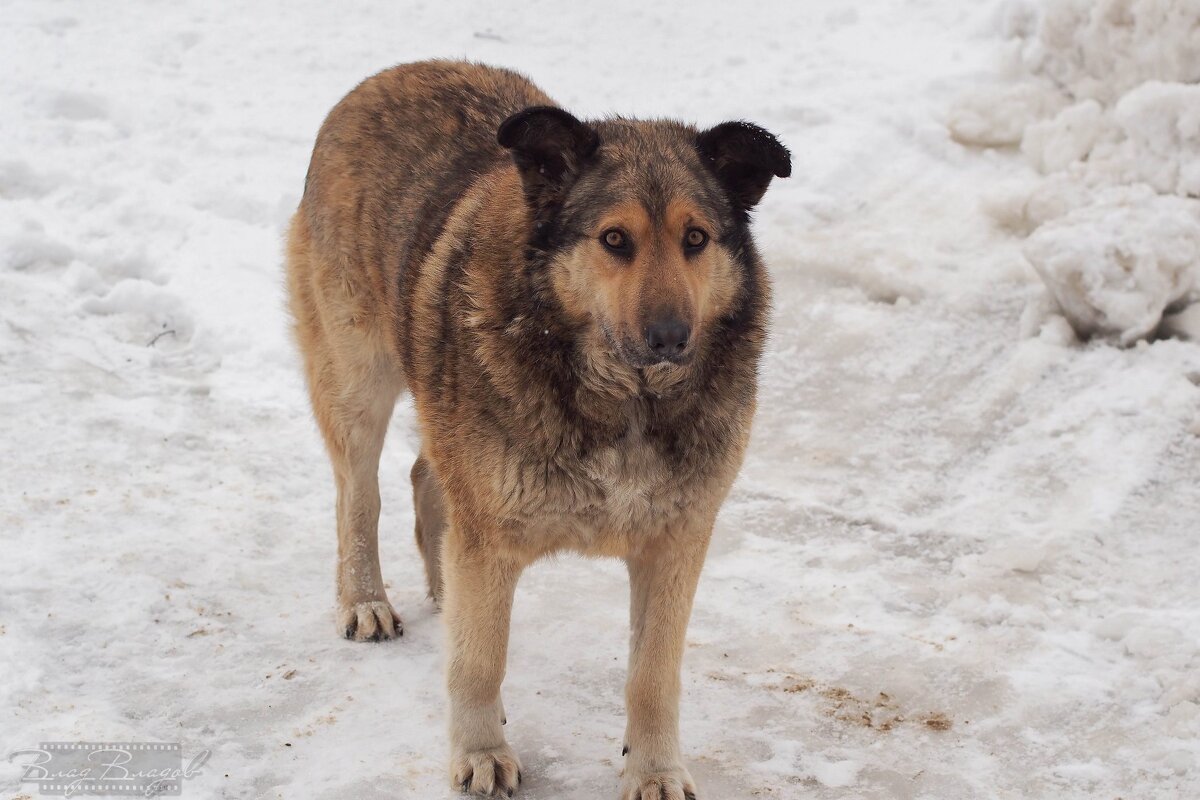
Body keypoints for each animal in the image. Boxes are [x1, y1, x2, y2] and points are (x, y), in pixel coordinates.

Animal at [286, 59, 792, 796]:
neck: (623, 403)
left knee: (424, 479)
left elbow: (652, 677)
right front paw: (480, 753)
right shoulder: (490, 538)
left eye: (696, 239)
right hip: (357, 378)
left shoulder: (675, 543)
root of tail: (386, 76)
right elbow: (479, 665)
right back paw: (366, 600)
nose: (671, 339)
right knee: (360, 495)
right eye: (614, 239)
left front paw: (654, 768)